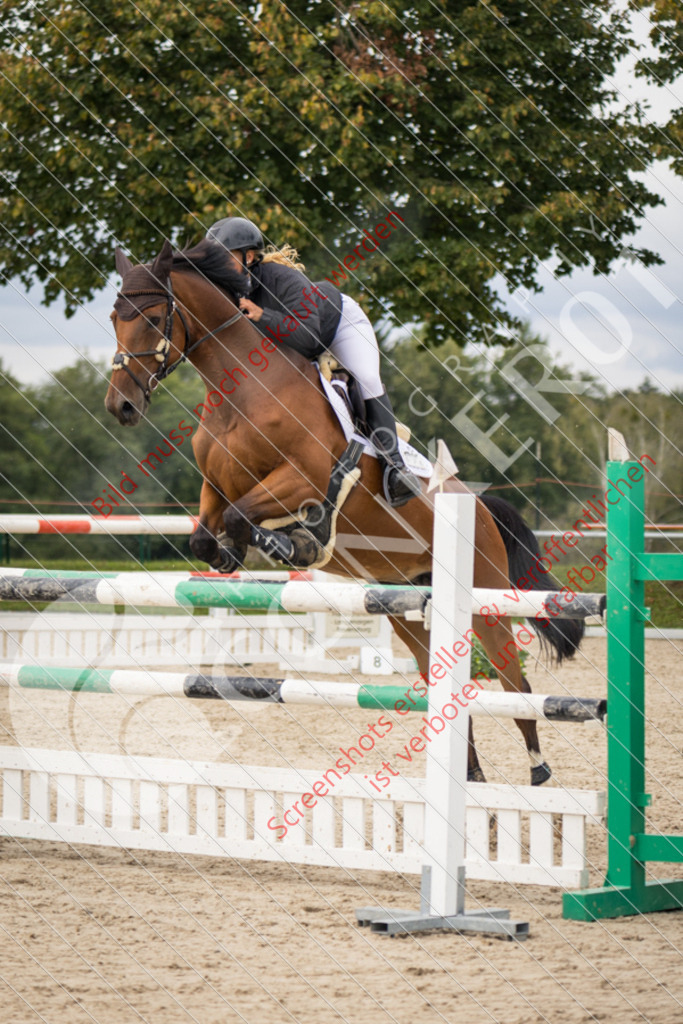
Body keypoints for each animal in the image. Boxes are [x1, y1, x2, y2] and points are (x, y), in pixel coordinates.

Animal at [105, 239, 581, 782]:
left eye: (153, 317)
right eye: (115, 318)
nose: (120, 406)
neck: (241, 387)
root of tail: (478, 506)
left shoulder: (303, 480)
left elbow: (244, 519)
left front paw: (293, 543)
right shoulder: (216, 486)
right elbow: (207, 533)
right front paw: (230, 557)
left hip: (487, 602)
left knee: (515, 684)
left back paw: (538, 772)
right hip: (407, 604)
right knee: (444, 682)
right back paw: (473, 776)